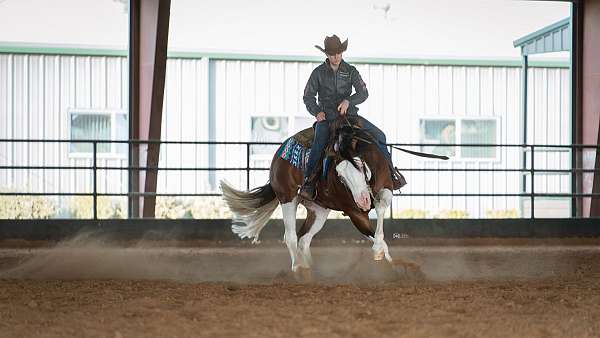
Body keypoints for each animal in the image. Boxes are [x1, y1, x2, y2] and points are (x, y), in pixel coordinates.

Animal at [219, 117, 398, 274]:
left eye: (360, 165)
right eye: (340, 176)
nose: (363, 200)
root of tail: (277, 155)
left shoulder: (386, 188)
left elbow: (381, 208)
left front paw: (391, 263)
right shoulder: (354, 212)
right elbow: (371, 233)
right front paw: (379, 252)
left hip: (319, 210)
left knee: (304, 239)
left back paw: (310, 269)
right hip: (287, 199)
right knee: (291, 237)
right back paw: (298, 269)